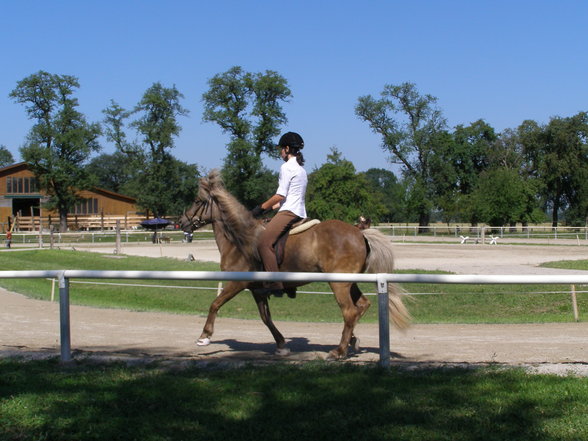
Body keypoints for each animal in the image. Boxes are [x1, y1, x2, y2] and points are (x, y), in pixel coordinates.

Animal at [179, 170, 408, 360]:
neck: (239, 239)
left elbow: (215, 304)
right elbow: (266, 318)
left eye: (197, 200)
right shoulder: (257, 290)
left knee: (349, 312)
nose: (181, 222)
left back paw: (339, 351)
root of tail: (360, 233)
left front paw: (204, 336)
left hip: (339, 283)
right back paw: (351, 341)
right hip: (349, 282)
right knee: (361, 306)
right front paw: (281, 345)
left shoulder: (237, 283)